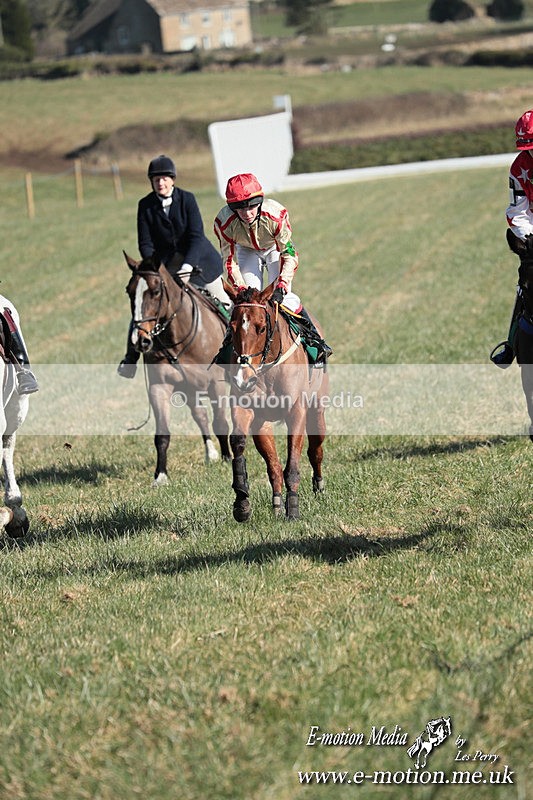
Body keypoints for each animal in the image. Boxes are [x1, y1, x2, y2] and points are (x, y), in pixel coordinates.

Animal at [123, 252, 231, 485]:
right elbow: (162, 435)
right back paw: (211, 454)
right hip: (189, 388)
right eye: (129, 292)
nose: (139, 341)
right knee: (200, 415)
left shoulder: (216, 383)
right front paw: (160, 476)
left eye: (155, 292)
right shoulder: (160, 387)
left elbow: (220, 422)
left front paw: (229, 458)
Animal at [225, 282, 329, 522]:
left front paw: (293, 510)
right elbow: (239, 443)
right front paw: (242, 502)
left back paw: (319, 487)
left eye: (261, 328)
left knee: (315, 450)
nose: (243, 379)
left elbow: (293, 462)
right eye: (232, 327)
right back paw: (277, 504)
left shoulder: (296, 412)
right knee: (274, 466)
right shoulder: (249, 411)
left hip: (317, 410)